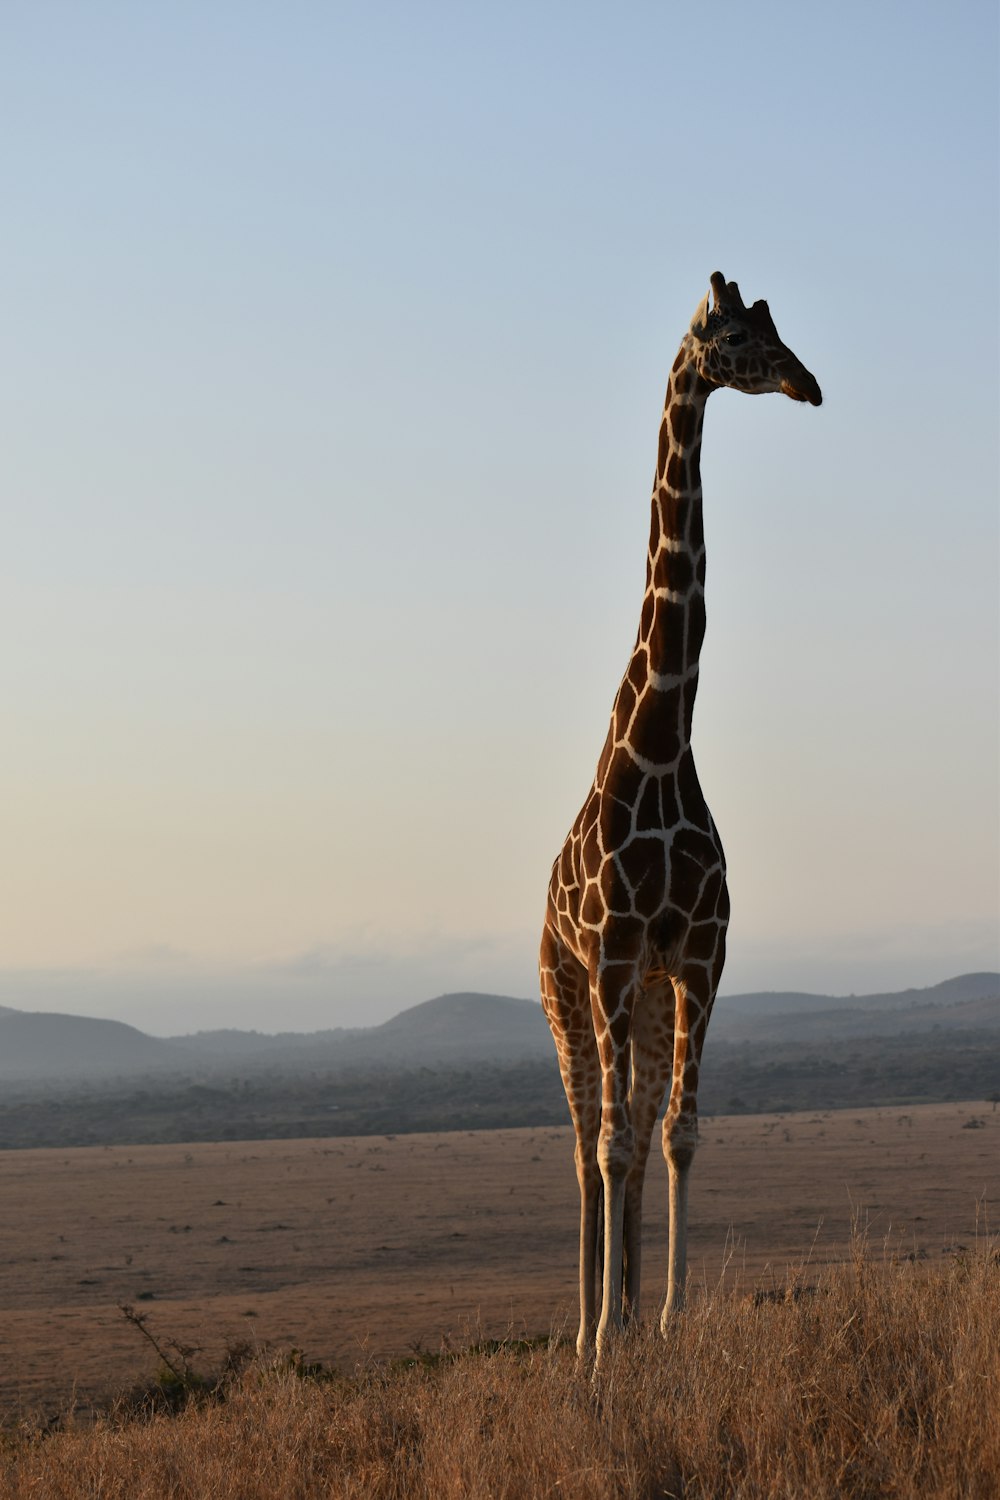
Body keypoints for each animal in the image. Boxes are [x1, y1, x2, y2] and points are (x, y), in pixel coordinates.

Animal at [539, 270, 821, 1362]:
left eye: (778, 328)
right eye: (736, 339)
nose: (807, 383)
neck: (661, 745)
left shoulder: (697, 956)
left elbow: (677, 1133)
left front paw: (664, 1318)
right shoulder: (615, 953)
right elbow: (617, 1143)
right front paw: (603, 1343)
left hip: (648, 997)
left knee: (632, 1117)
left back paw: (620, 1312)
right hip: (566, 989)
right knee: (585, 1139)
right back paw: (584, 1330)